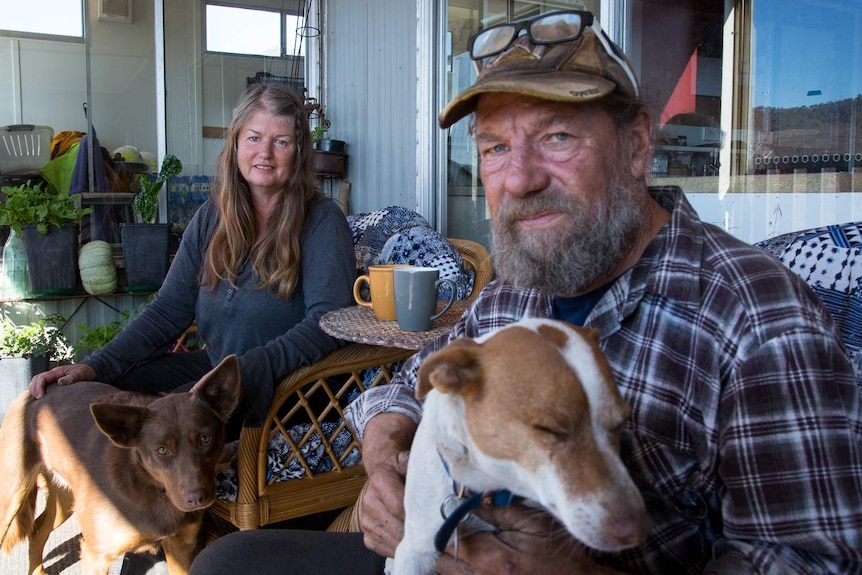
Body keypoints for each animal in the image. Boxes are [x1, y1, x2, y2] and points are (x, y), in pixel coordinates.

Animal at [0, 356, 243, 575]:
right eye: (161, 450)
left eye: (205, 439)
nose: (196, 499)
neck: (149, 486)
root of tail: (30, 392)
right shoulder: (95, 556)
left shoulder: (181, 548)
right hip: (11, 496)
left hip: (66, 498)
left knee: (37, 529)